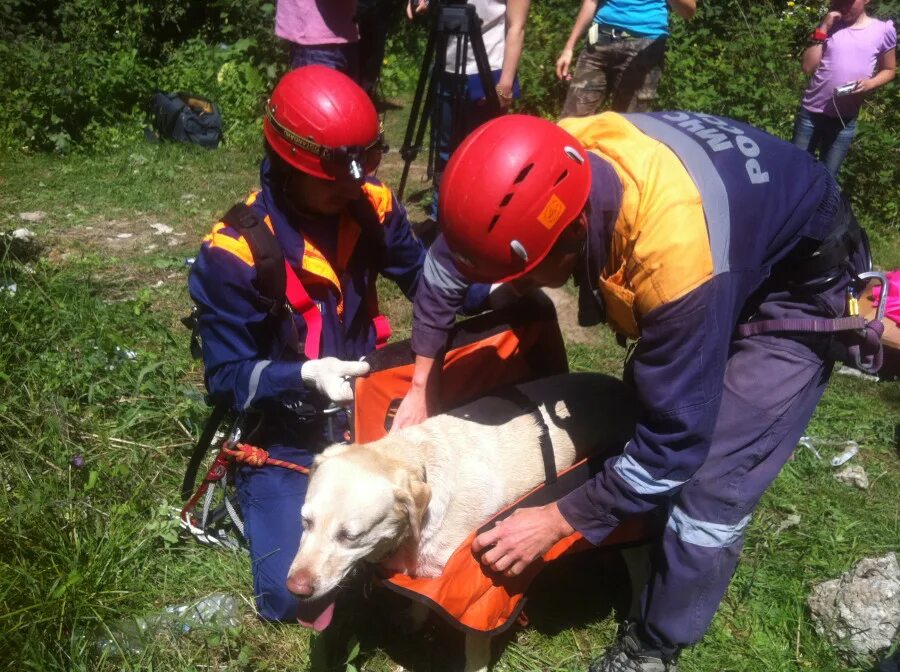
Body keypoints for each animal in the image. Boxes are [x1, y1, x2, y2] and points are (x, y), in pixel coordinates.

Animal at [288, 372, 632, 672]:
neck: (416, 461)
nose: (296, 589)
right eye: (305, 521)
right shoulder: (425, 571)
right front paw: (415, 619)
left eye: (350, 536)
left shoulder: (476, 597)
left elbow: (475, 649)